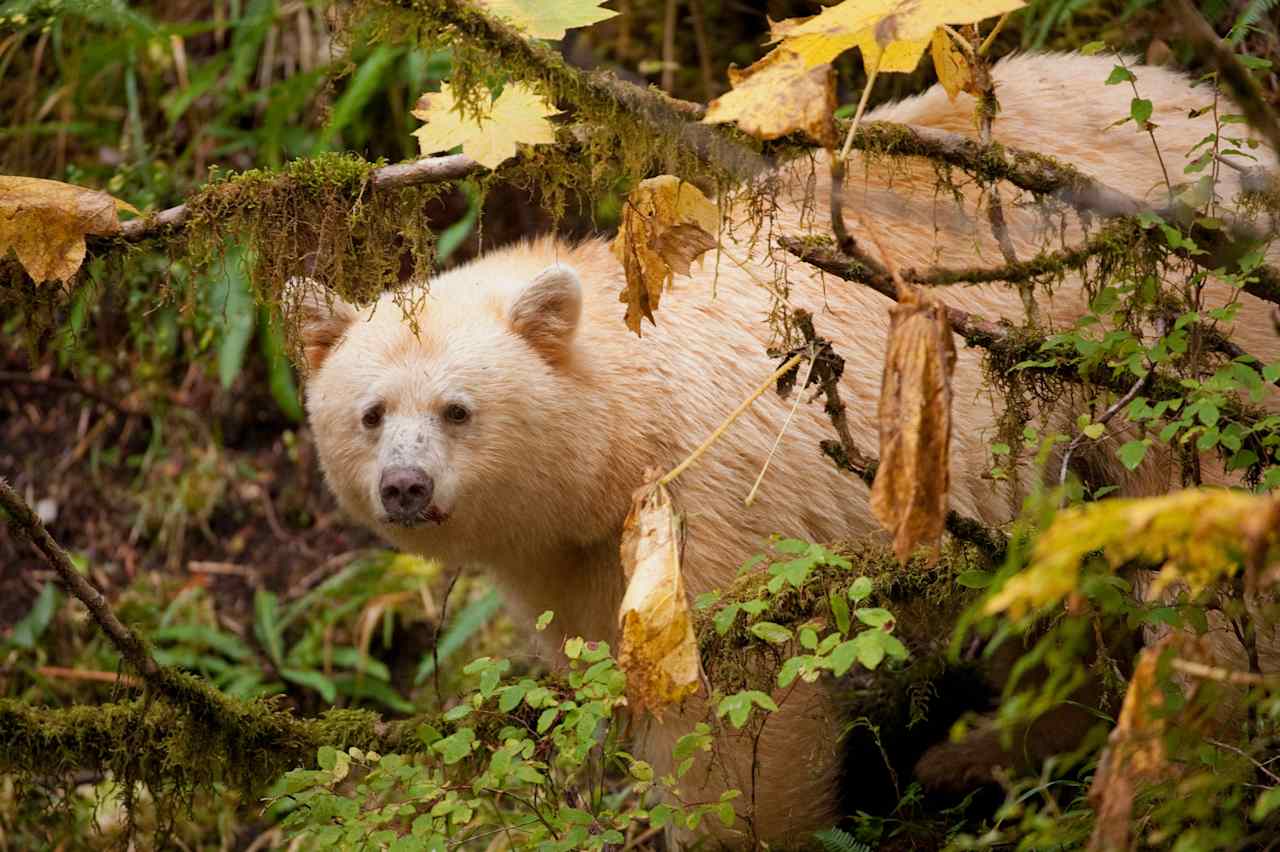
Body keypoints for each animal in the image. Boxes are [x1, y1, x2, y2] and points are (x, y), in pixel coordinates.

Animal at [293, 52, 1280, 847]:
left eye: (457, 409)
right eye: (370, 413)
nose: (406, 486)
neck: (623, 432)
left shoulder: (713, 506)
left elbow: (731, 710)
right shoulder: (581, 563)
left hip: (1173, 353)